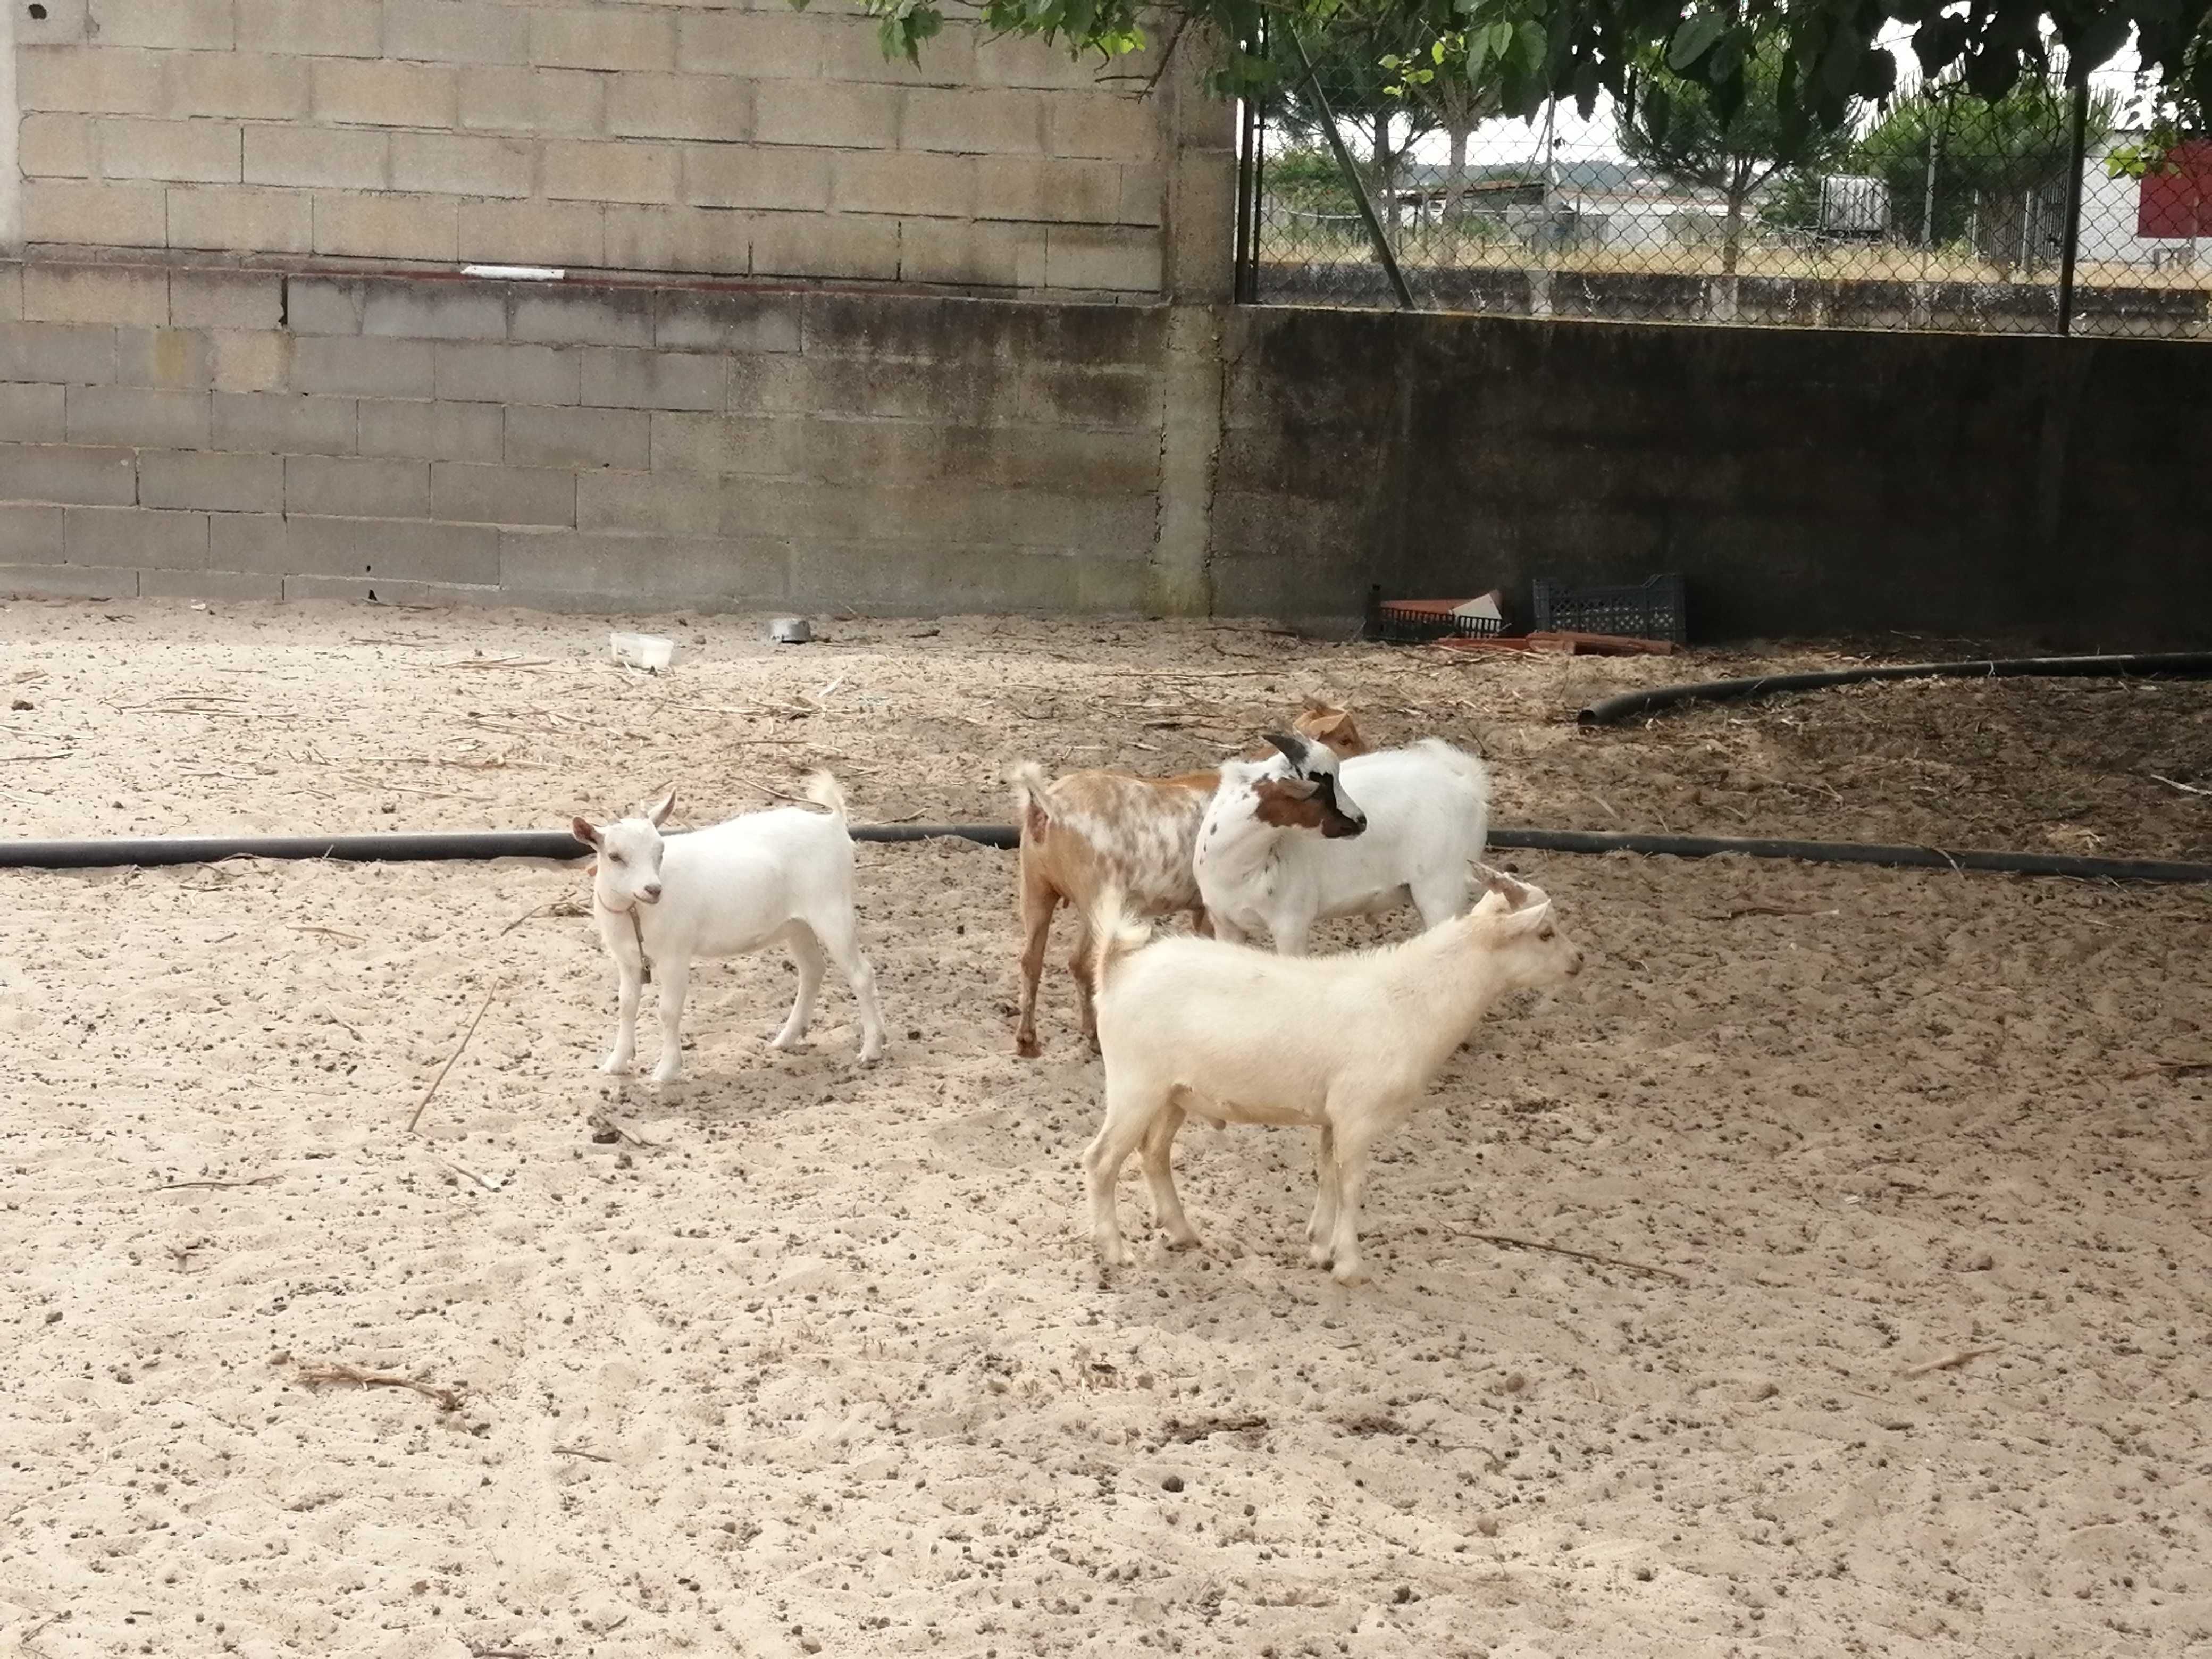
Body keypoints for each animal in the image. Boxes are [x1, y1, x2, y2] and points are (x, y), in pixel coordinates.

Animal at [575, 783, 885, 1093]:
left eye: (660, 850)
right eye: (615, 856)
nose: (653, 889)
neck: (636, 913)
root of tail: (832, 823)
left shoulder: (675, 955)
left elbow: (668, 1011)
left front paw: (666, 1070)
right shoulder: (627, 960)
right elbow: (626, 1005)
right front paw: (616, 1064)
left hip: (831, 909)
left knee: (861, 974)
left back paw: (871, 1050)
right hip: (797, 924)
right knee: (812, 970)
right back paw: (786, 1038)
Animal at [1008, 694, 1362, 1057]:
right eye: (1345, 739)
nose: (1359, 820)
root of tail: (1046, 807)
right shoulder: (1208, 908)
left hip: (1036, 888)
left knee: (1032, 960)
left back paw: (1029, 1041)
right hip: (1096, 897)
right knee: (1080, 962)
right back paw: (1092, 1036)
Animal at [1084, 872, 1574, 1283]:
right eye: (1546, 933)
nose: (1579, 961)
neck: (1411, 999)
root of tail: (1116, 969)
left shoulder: (1332, 1115)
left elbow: (1327, 1175)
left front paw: (1320, 1247)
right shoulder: (1358, 1114)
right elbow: (1351, 1183)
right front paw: (1350, 1266)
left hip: (1173, 1093)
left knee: (1154, 1154)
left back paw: (1183, 1232)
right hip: (1134, 1085)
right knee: (1102, 1159)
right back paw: (1116, 1251)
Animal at [1203, 734, 1495, 956]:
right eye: (1319, 790)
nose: (1361, 820)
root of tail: (1467, 784)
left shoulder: (1291, 924)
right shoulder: (1225, 924)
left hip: (1441, 888)